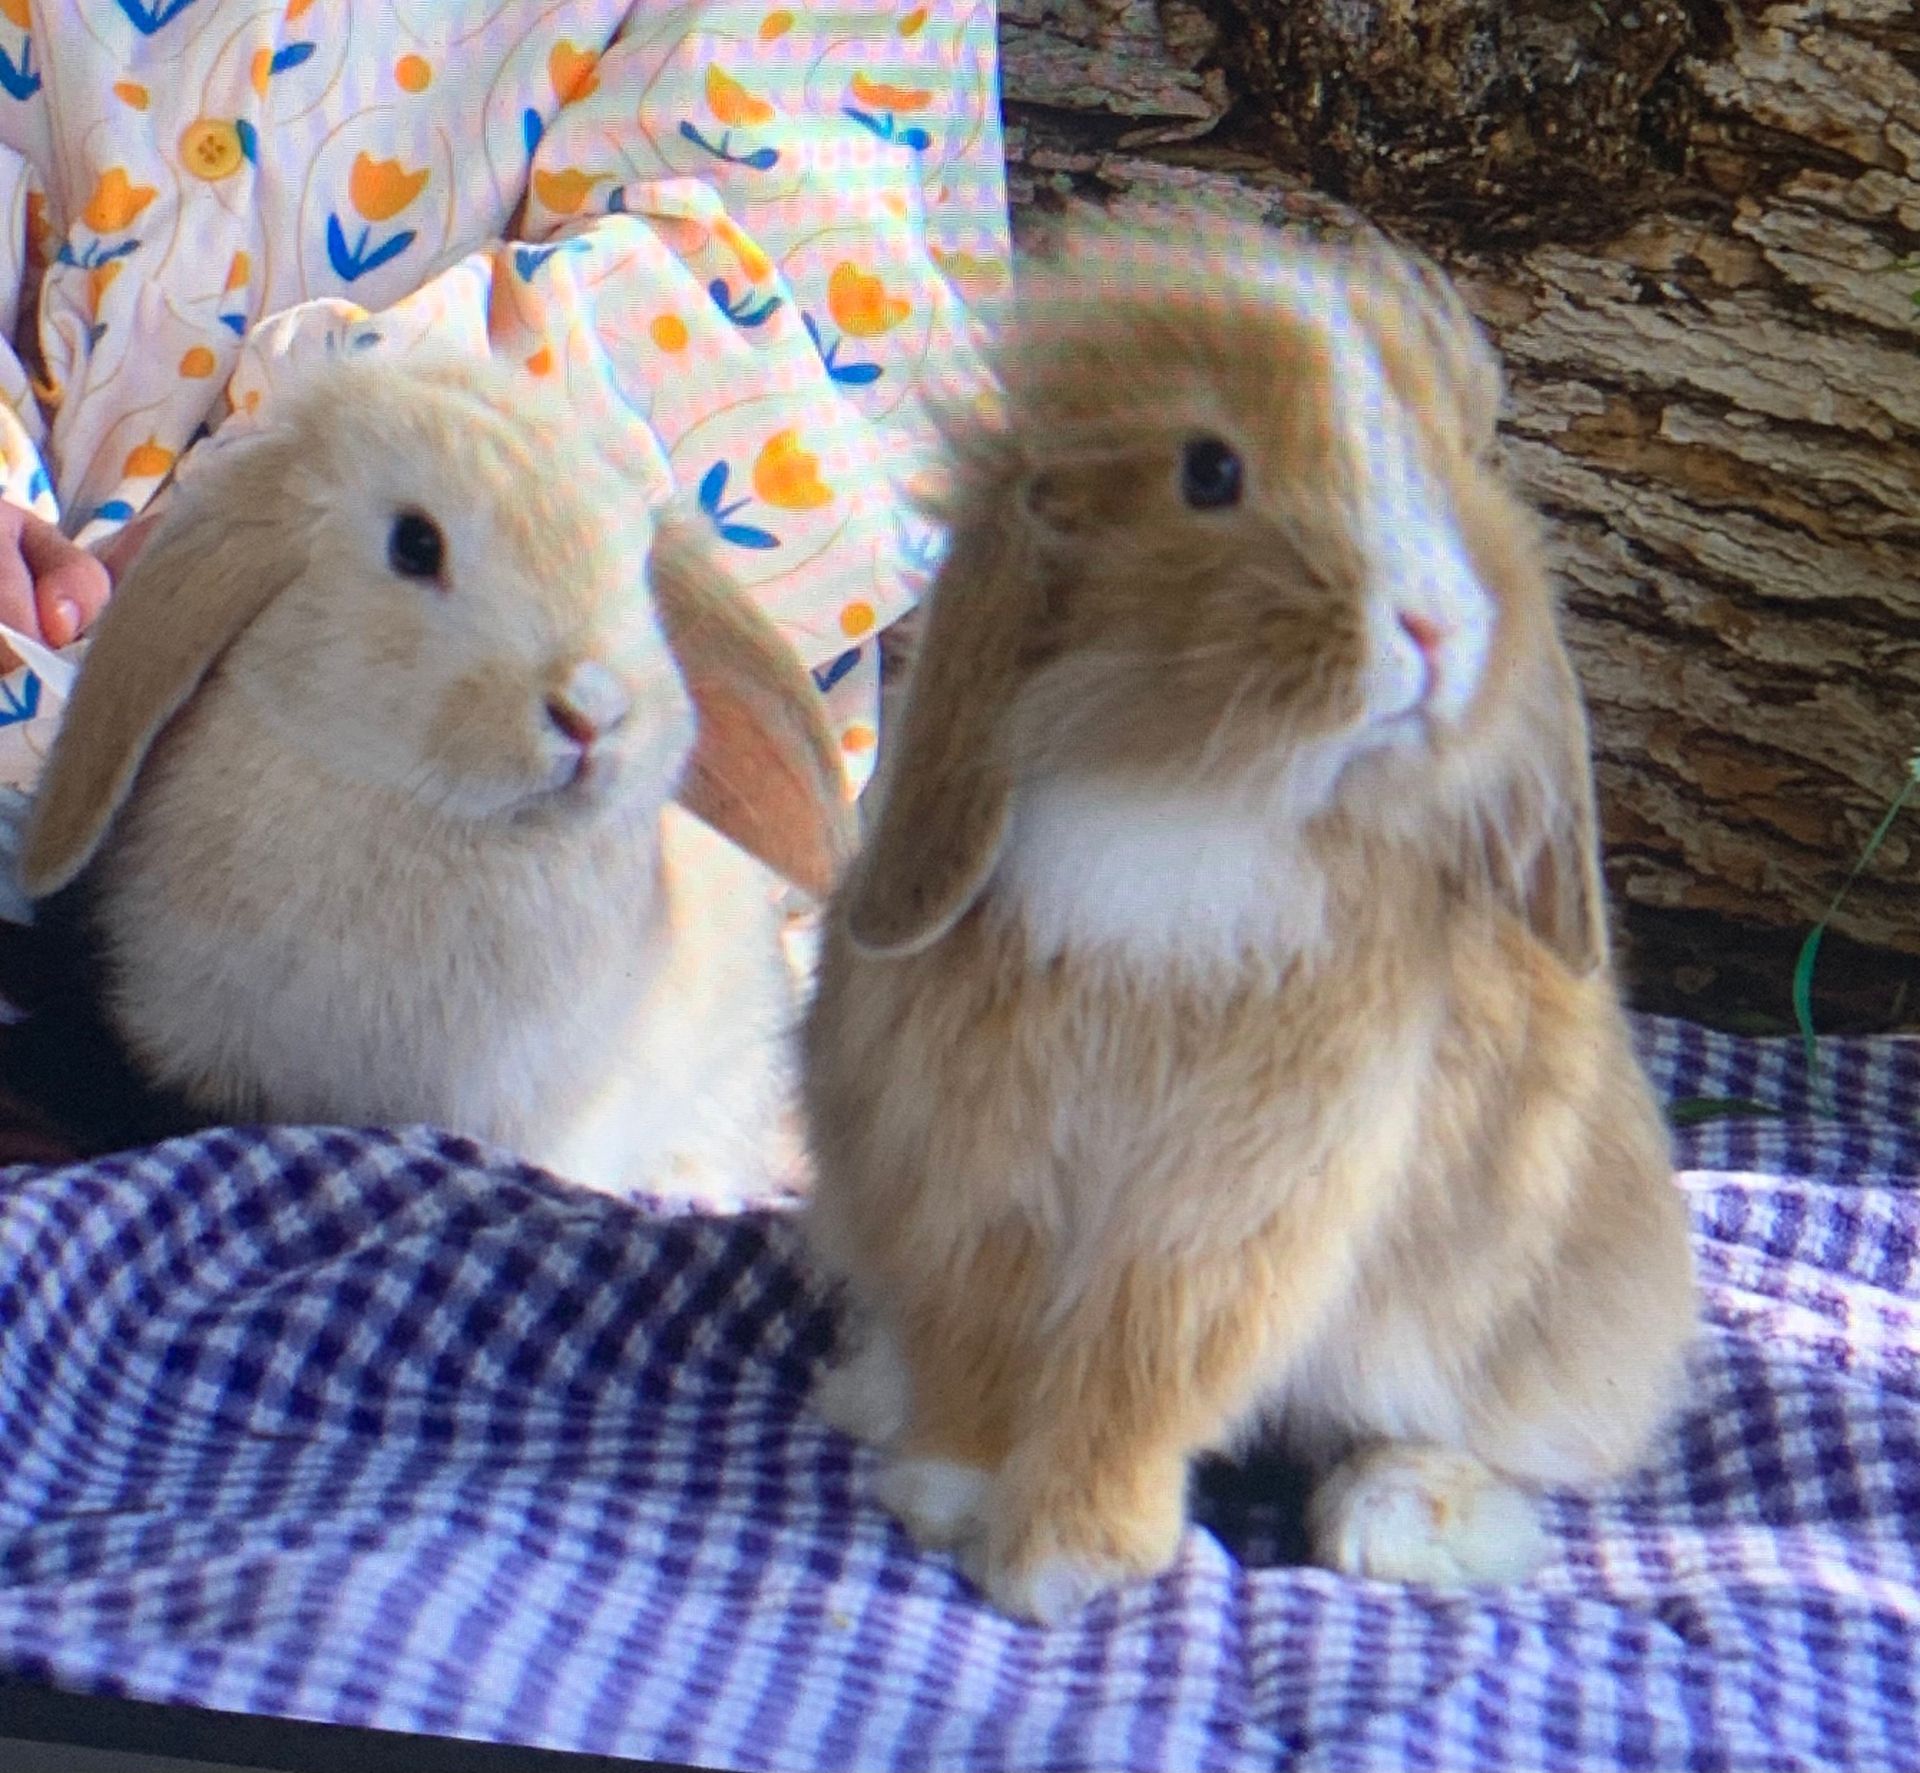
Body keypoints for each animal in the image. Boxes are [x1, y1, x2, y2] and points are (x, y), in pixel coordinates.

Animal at [798, 209, 1697, 1624]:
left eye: (1441, 461)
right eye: (1208, 470)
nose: (1435, 627)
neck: (1188, 799)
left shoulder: (1242, 1197)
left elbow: (1147, 1360)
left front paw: (1065, 1559)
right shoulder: (975, 1159)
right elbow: (983, 1329)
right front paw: (951, 1485)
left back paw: (1406, 1519)